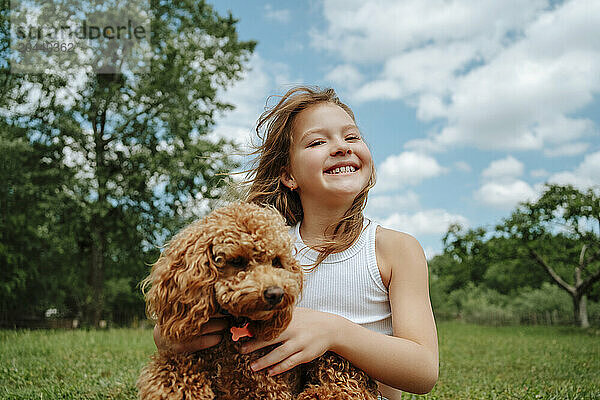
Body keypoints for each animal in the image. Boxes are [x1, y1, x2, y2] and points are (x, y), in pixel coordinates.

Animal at [138, 203, 378, 400]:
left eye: (276, 262)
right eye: (237, 261)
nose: (275, 293)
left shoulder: (268, 387)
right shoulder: (181, 358)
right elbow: (168, 377)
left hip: (331, 355)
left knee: (346, 390)